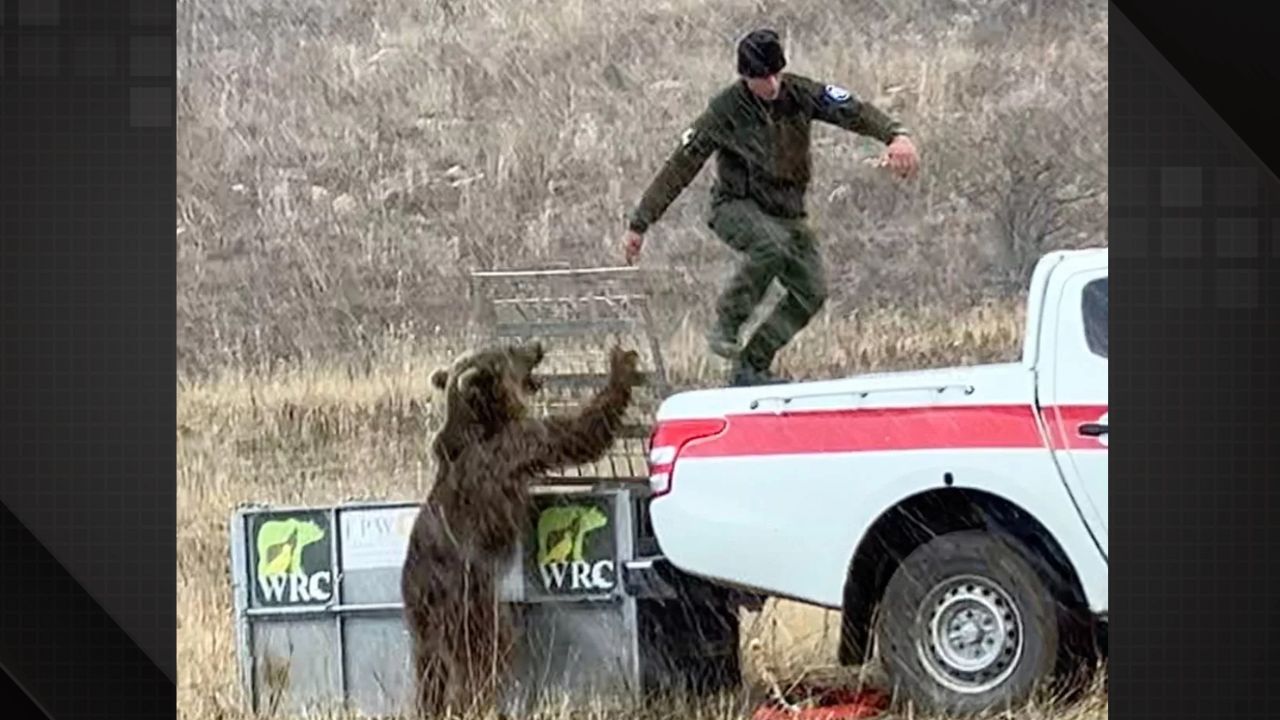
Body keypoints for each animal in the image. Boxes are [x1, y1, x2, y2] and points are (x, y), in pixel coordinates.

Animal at [396, 338, 640, 712]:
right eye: (510, 350)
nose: (537, 345)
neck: (486, 419)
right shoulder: (513, 446)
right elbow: (574, 433)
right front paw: (620, 366)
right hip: (470, 601)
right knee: (484, 654)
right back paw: (478, 700)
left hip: (419, 618)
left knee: (430, 670)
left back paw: (432, 703)